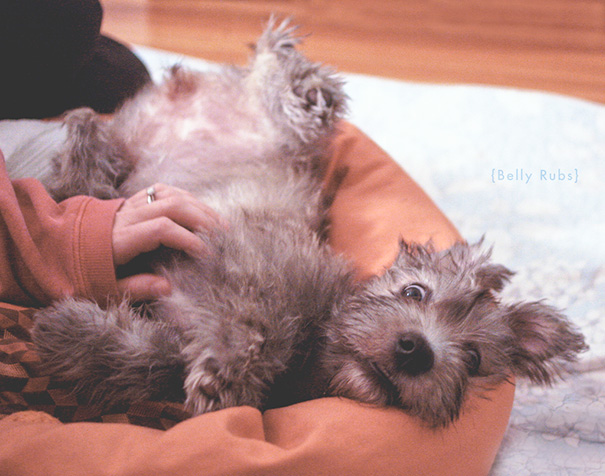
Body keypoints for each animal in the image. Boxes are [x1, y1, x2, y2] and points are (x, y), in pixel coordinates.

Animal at [31, 17, 584, 428]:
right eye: (414, 292)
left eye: (473, 360)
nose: (416, 350)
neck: (316, 347)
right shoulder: (261, 270)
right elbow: (257, 325)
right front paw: (228, 369)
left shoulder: (185, 328)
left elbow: (154, 362)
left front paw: (68, 331)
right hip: (276, 126)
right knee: (279, 83)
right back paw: (299, 79)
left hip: (133, 138)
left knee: (89, 136)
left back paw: (87, 164)